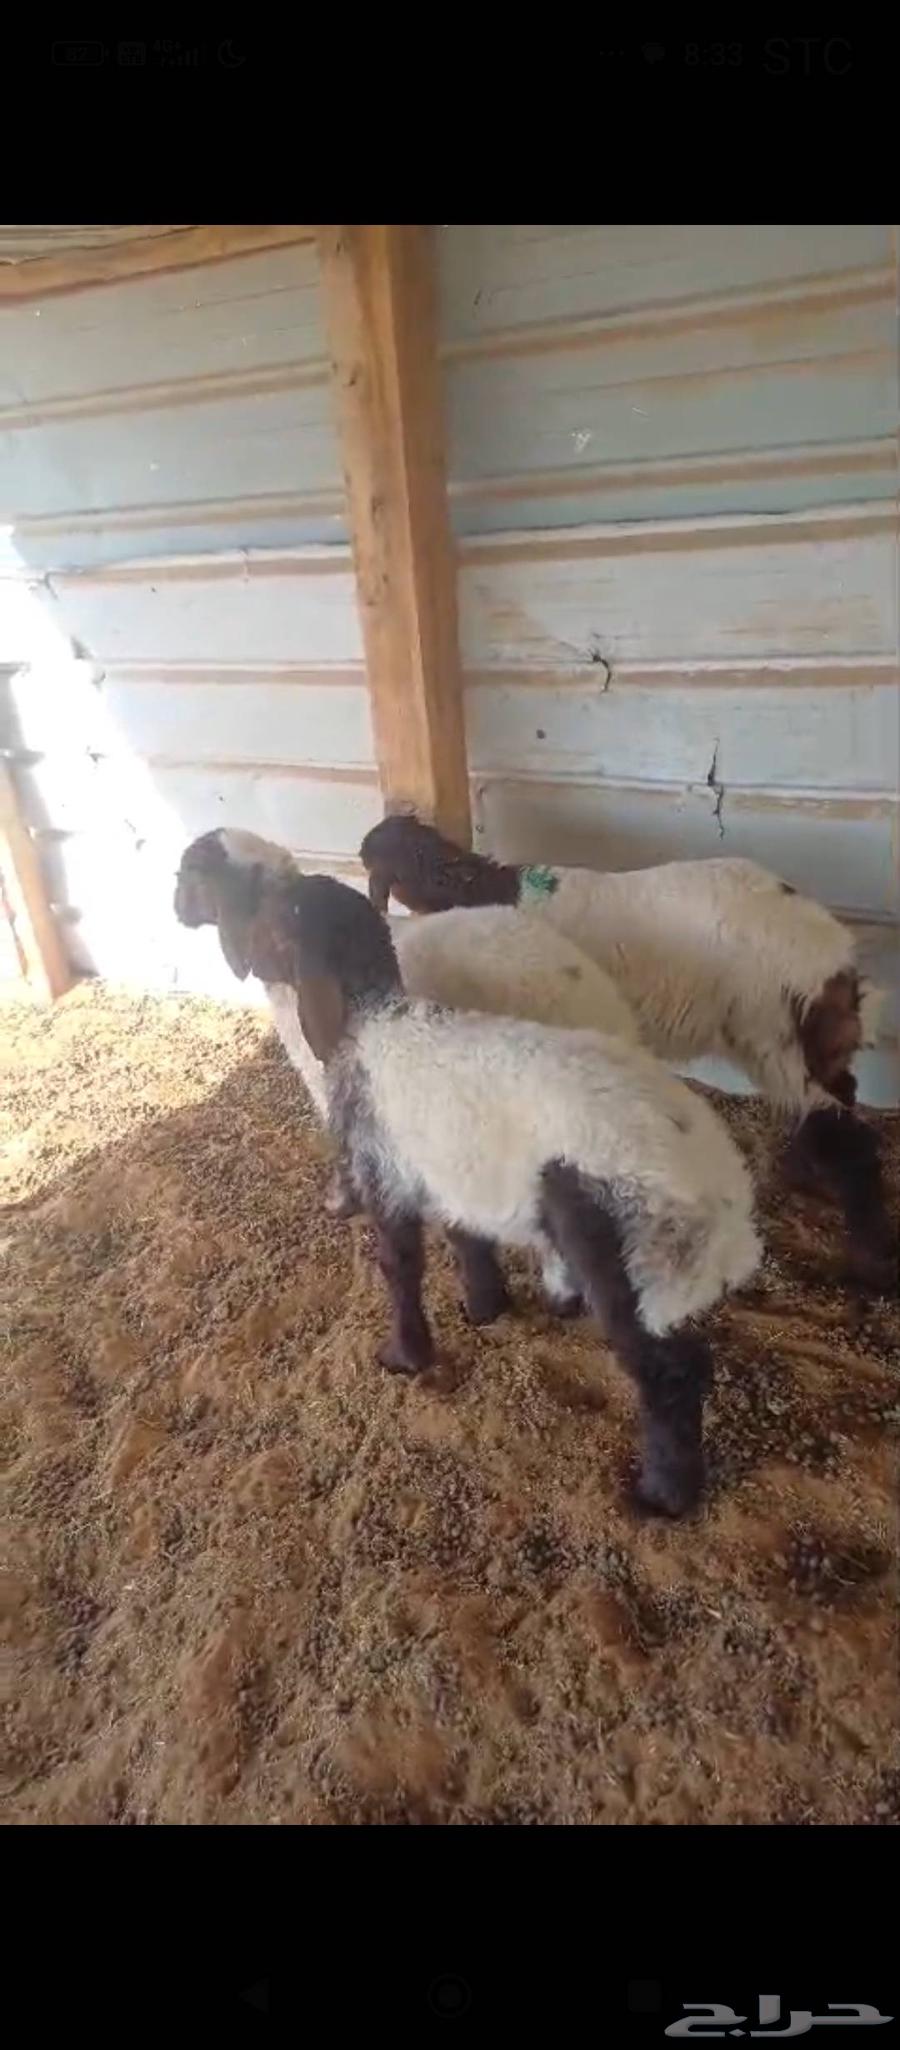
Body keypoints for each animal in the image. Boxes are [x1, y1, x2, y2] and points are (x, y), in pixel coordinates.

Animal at [360, 814, 895, 1296]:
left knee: (847, 1134)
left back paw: (869, 1267)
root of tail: (838, 963)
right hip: (808, 1046)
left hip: (779, 1038)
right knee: (837, 1105)